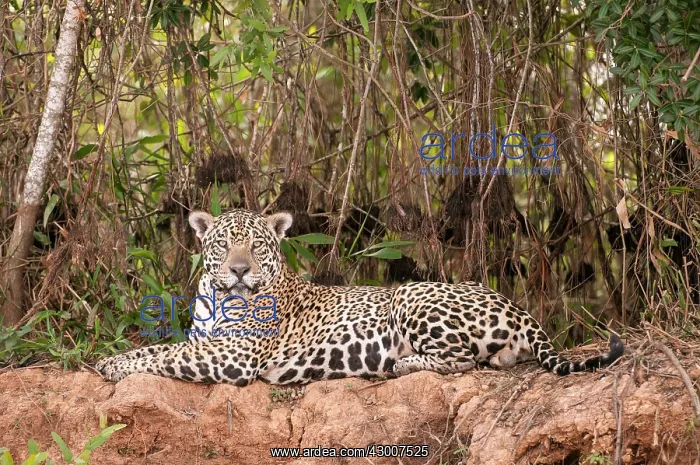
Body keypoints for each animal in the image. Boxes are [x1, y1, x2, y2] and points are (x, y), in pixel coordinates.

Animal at [96, 208, 624, 385]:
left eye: (257, 246)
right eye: (224, 244)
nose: (239, 270)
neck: (219, 297)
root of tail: (515, 305)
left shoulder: (234, 355)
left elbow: (165, 353)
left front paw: (111, 364)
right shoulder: (208, 342)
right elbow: (168, 346)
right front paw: (113, 360)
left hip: (411, 296)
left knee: (460, 360)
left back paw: (401, 362)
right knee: (490, 360)